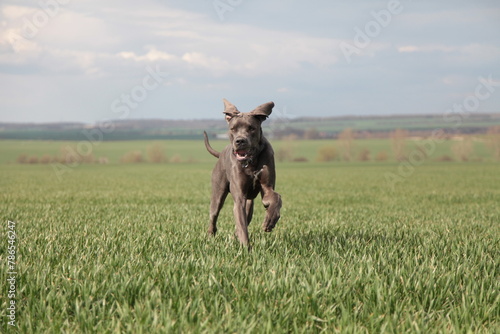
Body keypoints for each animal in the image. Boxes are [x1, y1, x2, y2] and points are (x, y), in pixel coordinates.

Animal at [203, 98, 282, 248]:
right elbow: (241, 223)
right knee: (214, 215)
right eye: (233, 129)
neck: (250, 161)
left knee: (246, 216)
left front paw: (270, 219)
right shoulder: (239, 197)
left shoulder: (267, 187)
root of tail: (220, 154)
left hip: (250, 203)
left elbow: (276, 197)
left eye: (251, 128)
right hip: (218, 192)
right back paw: (210, 236)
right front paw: (246, 248)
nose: (240, 141)